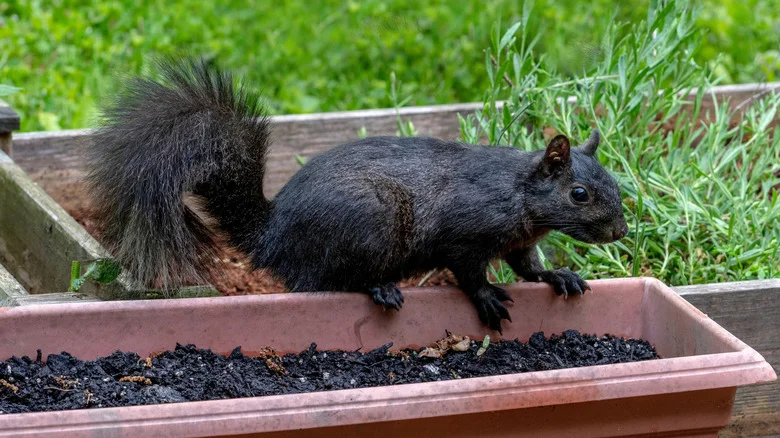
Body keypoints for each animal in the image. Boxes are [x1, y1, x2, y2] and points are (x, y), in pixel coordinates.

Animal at [85, 56, 629, 333]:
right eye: (579, 193)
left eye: (616, 183)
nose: (620, 231)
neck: (518, 195)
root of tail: (274, 239)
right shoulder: (466, 231)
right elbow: (469, 270)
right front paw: (488, 298)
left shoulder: (519, 240)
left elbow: (527, 266)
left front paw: (559, 275)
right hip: (371, 220)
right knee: (333, 280)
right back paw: (380, 287)